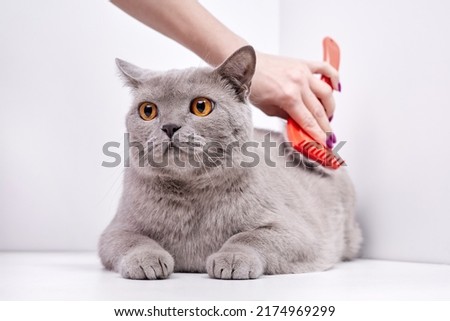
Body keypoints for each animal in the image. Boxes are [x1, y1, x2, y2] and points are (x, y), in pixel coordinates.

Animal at [98, 46, 362, 278]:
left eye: (201, 106)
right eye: (148, 110)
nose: (169, 126)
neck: (192, 196)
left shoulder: (298, 231)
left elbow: (248, 237)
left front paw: (232, 259)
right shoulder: (116, 229)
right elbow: (132, 240)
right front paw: (146, 261)